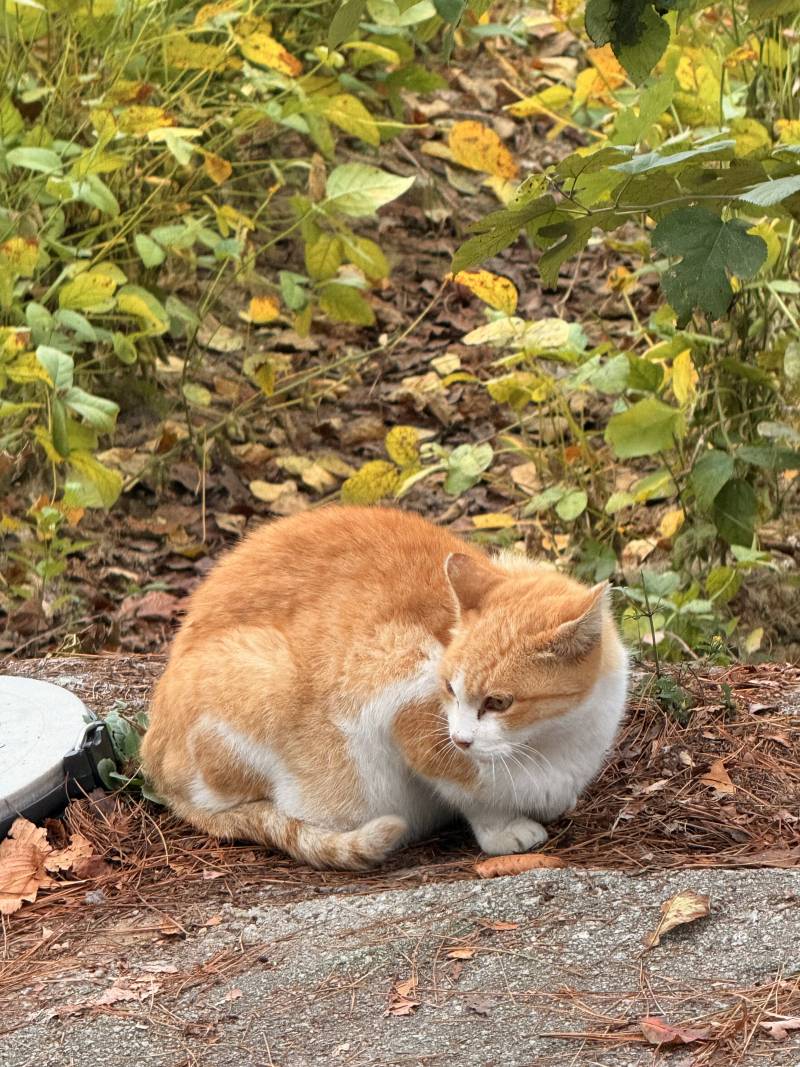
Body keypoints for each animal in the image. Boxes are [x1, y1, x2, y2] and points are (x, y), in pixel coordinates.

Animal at [144, 505, 631, 866]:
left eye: (498, 702)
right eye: (449, 689)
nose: (461, 738)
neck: (551, 741)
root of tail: (152, 755)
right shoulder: (392, 683)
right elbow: (469, 788)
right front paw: (503, 828)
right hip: (263, 679)